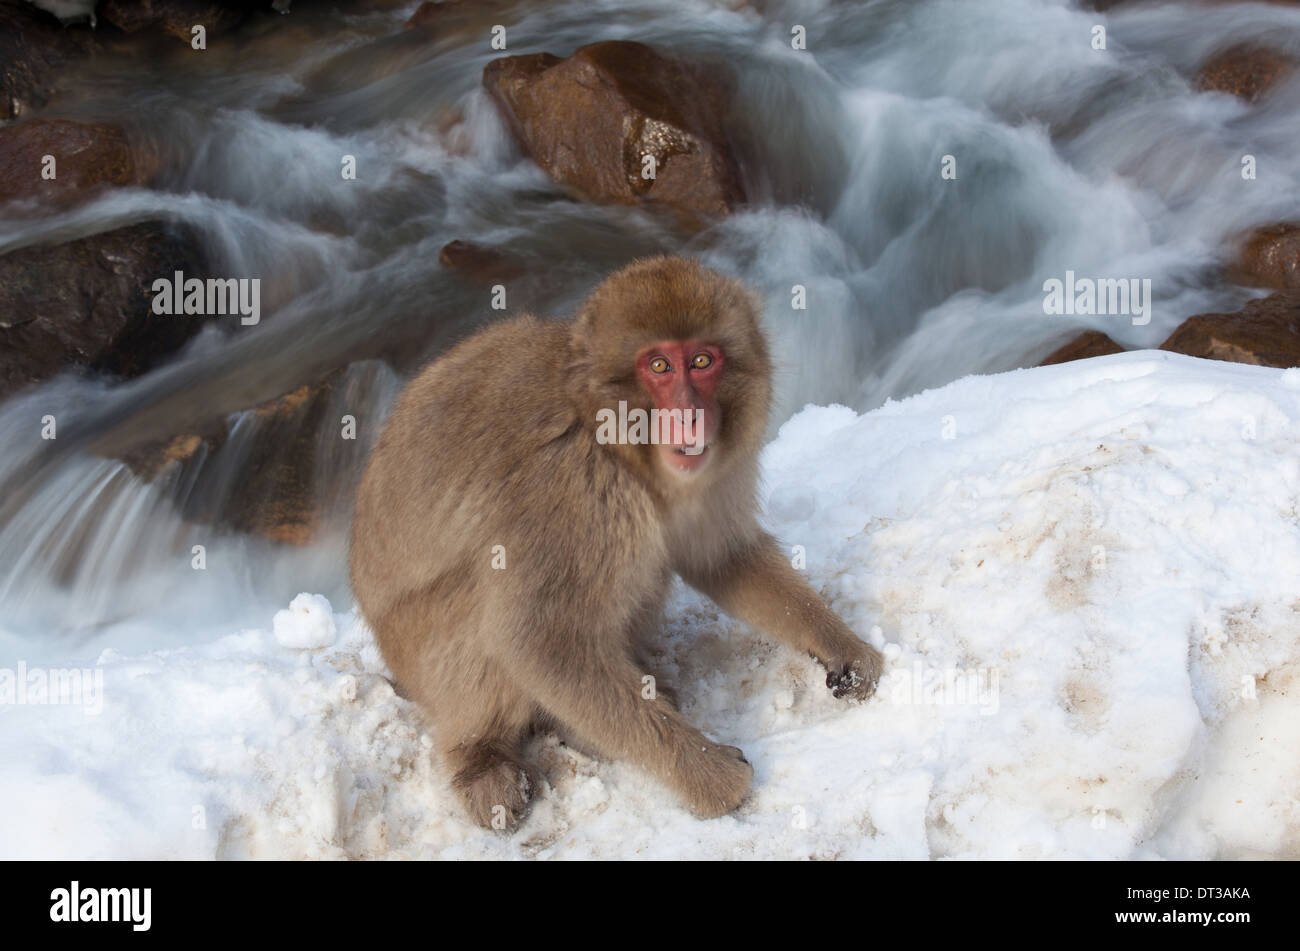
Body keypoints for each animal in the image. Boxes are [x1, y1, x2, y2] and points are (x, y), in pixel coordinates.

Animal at [351, 255, 883, 826]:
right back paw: (483, 756)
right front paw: (711, 777)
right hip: (423, 645)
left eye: (702, 360)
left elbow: (721, 557)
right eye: (659, 367)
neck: (612, 439)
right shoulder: (570, 489)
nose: (689, 413)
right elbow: (540, 640)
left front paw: (843, 646)